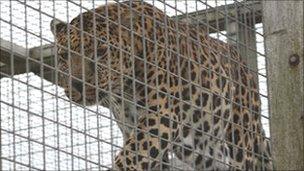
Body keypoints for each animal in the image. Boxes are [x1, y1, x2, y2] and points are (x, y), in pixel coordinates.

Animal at [50, 0, 274, 170]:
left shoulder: (161, 116)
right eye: (63, 56)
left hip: (241, 134)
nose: (77, 85)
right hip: (206, 150)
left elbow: (130, 156)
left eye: (101, 52)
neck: (123, 88)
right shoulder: (131, 126)